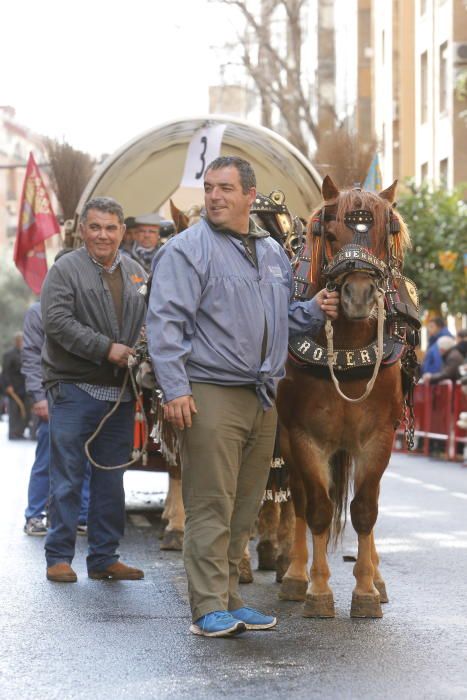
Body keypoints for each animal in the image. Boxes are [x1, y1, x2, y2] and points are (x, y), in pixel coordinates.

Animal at [276, 175, 414, 616]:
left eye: (385, 234)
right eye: (332, 234)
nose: (358, 295)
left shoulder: (379, 437)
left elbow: (365, 510)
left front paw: (367, 590)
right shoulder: (304, 436)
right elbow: (317, 509)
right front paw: (317, 589)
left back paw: (377, 575)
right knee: (300, 500)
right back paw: (295, 575)